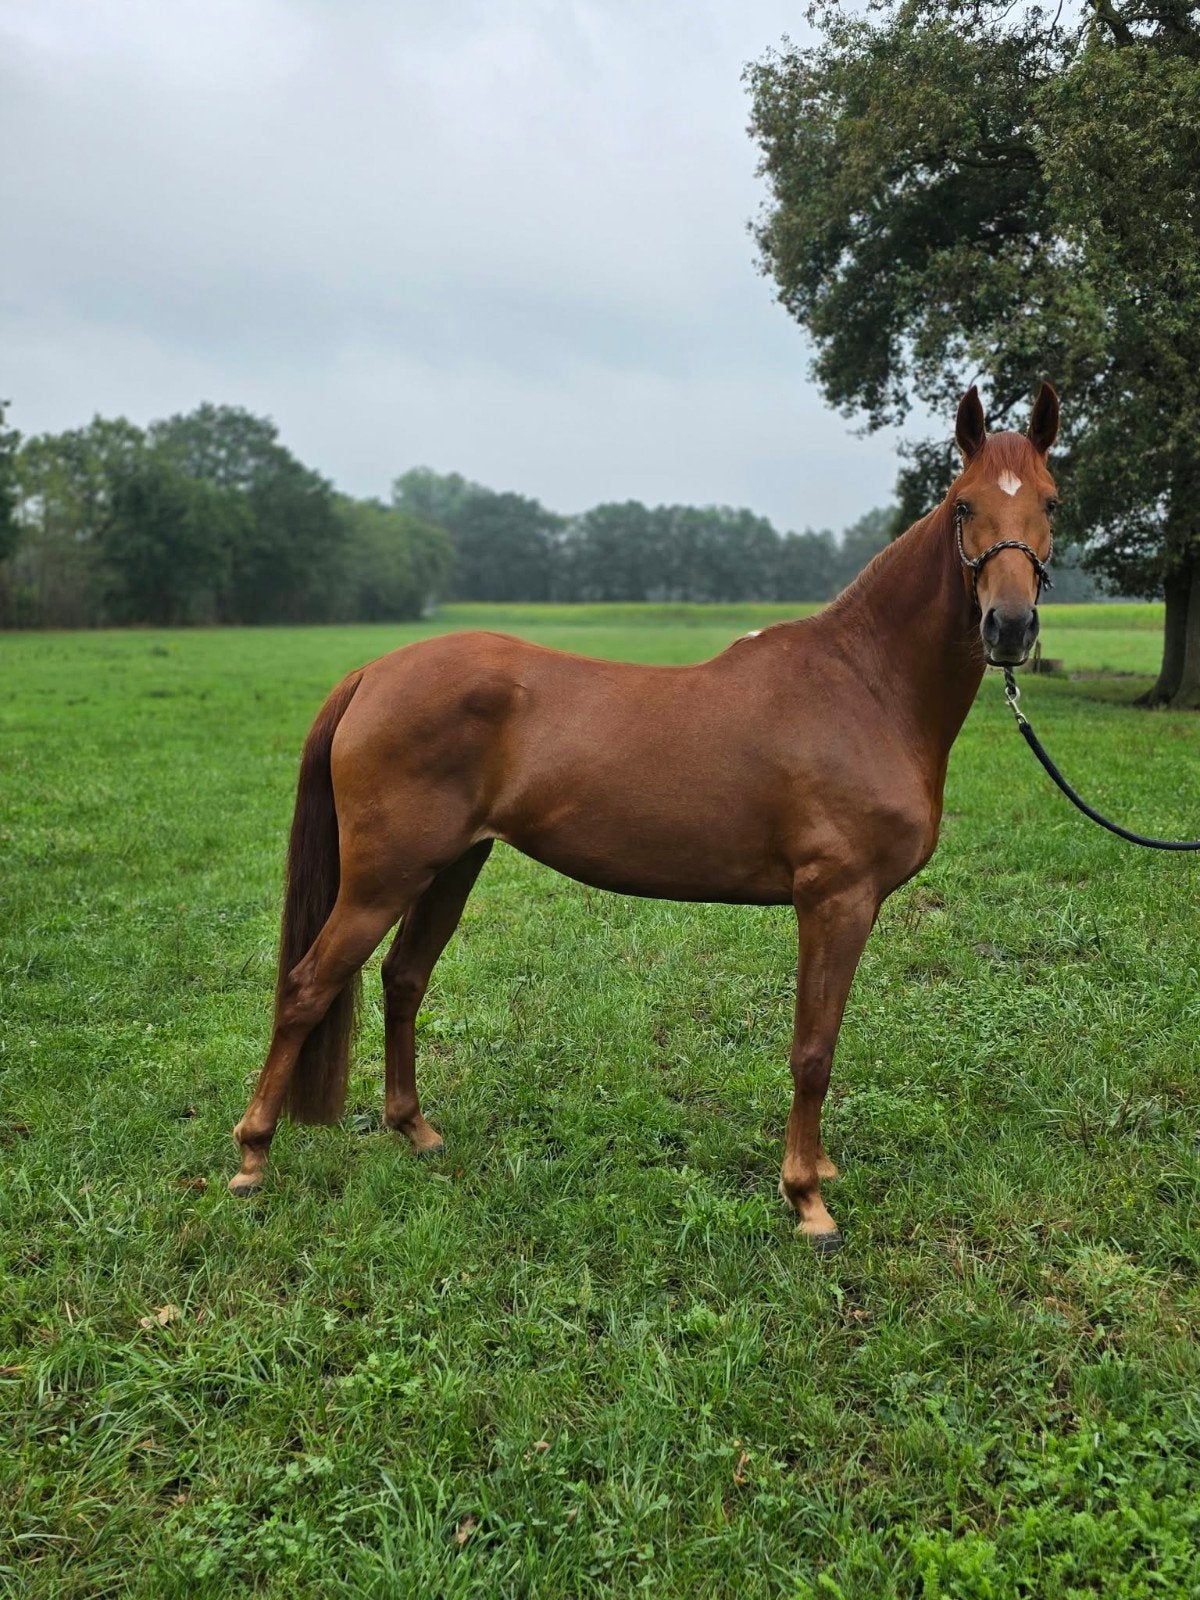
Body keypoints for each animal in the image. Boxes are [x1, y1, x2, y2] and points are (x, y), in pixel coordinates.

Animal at [230, 382, 1061, 1248]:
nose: (1009, 626)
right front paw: (806, 1198)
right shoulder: (836, 899)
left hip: (451, 865)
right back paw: (252, 1156)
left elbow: (819, 1043)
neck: (864, 687)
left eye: (1051, 502)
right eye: (964, 504)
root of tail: (372, 673)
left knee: (403, 978)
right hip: (381, 878)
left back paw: (414, 1129)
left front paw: (819, 1171)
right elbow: (813, 1050)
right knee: (307, 987)